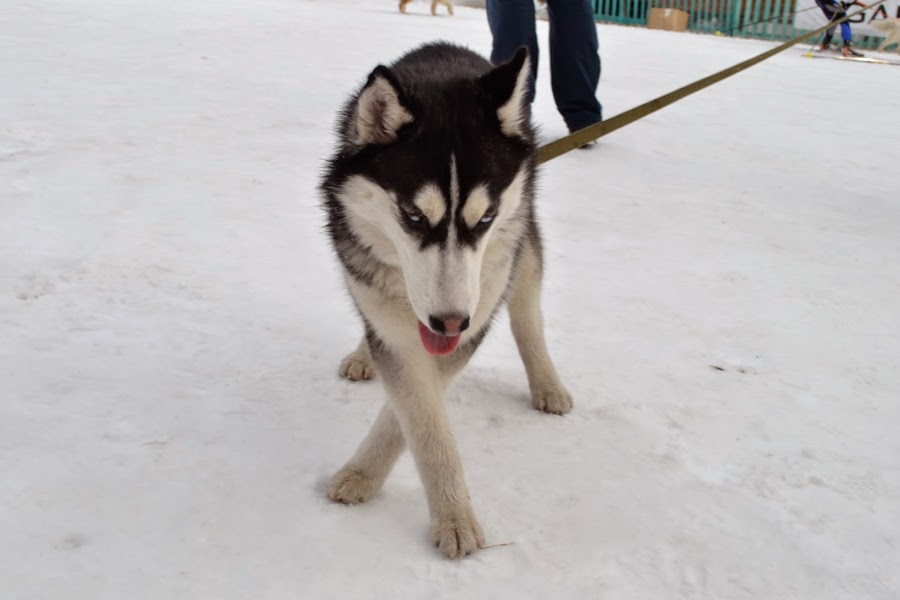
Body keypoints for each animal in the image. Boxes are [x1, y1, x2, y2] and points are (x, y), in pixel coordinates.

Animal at [318, 41, 568, 556]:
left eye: (486, 217)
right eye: (413, 216)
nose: (450, 321)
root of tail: (447, 48)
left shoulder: (468, 321)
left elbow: (413, 415)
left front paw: (449, 514)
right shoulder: (395, 323)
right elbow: (421, 415)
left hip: (523, 244)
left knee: (527, 315)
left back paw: (547, 383)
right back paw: (362, 355)